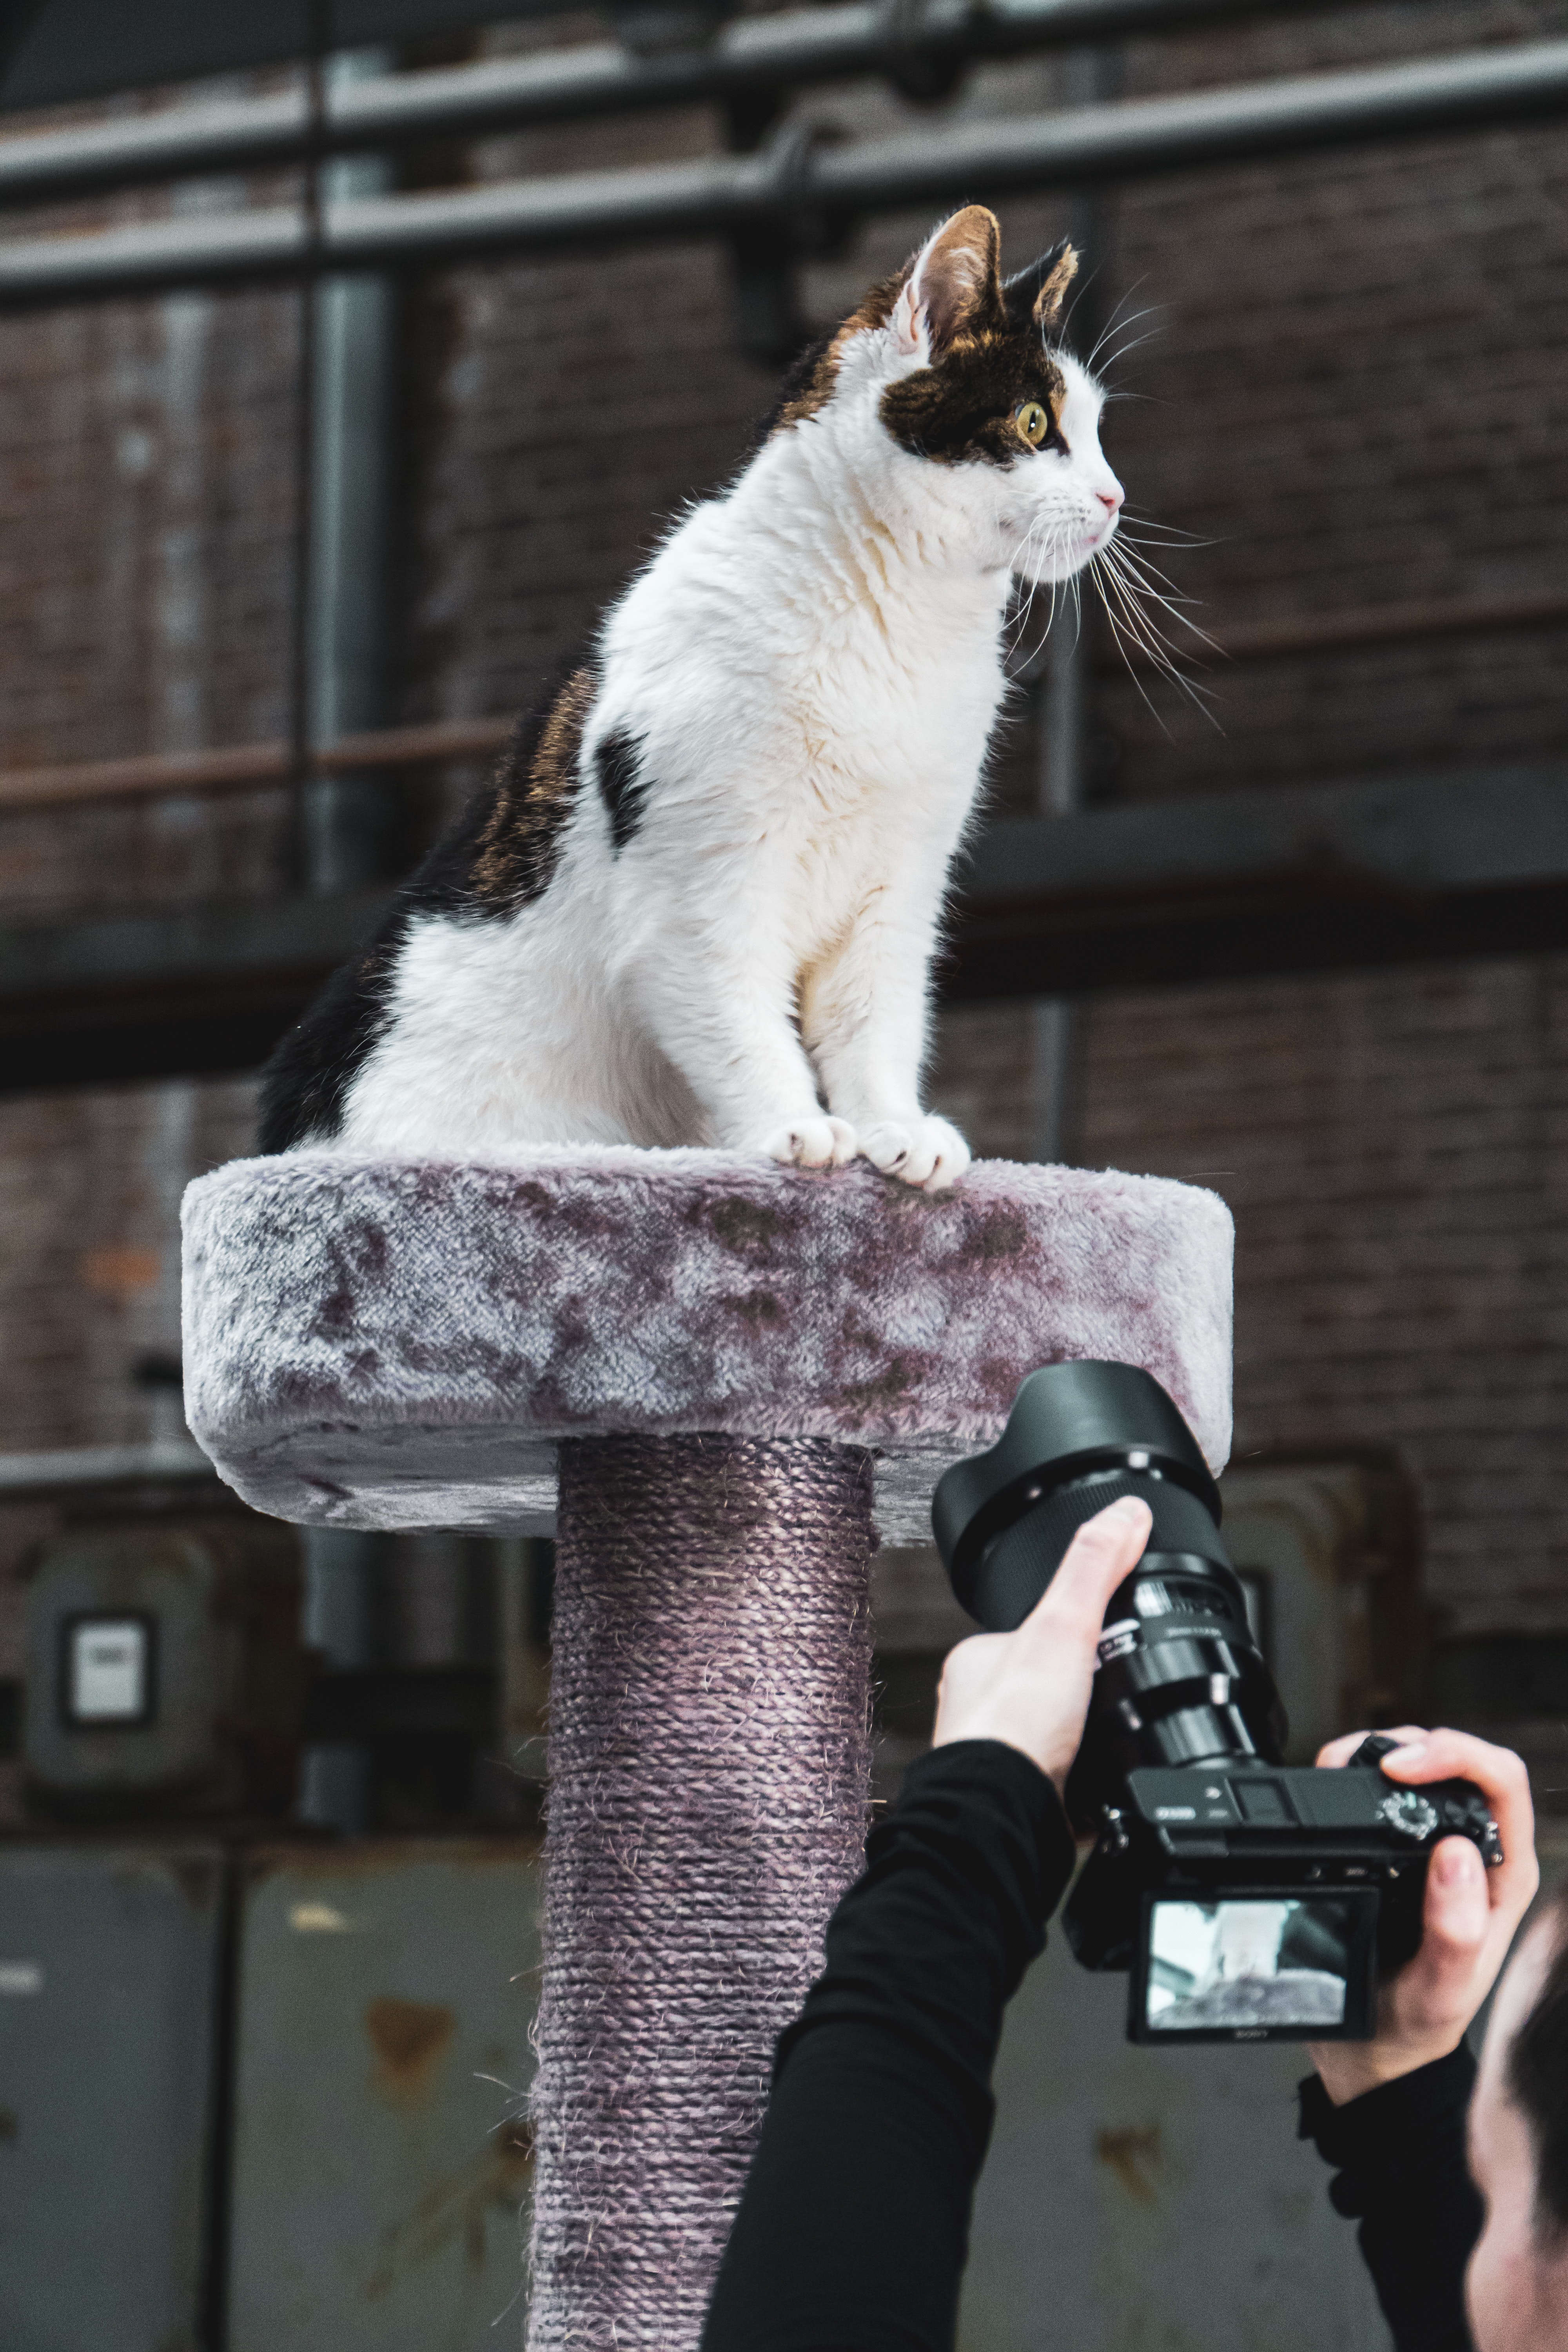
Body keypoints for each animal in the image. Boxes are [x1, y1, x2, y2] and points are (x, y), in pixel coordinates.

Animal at [267, 200, 1128, 1185]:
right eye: (1032, 422)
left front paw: (895, 1131)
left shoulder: (898, 884)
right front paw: (793, 1130)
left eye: (1094, 430)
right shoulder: (700, 887)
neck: (901, 623)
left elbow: (876, 1026)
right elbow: (739, 1016)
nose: (1114, 497)